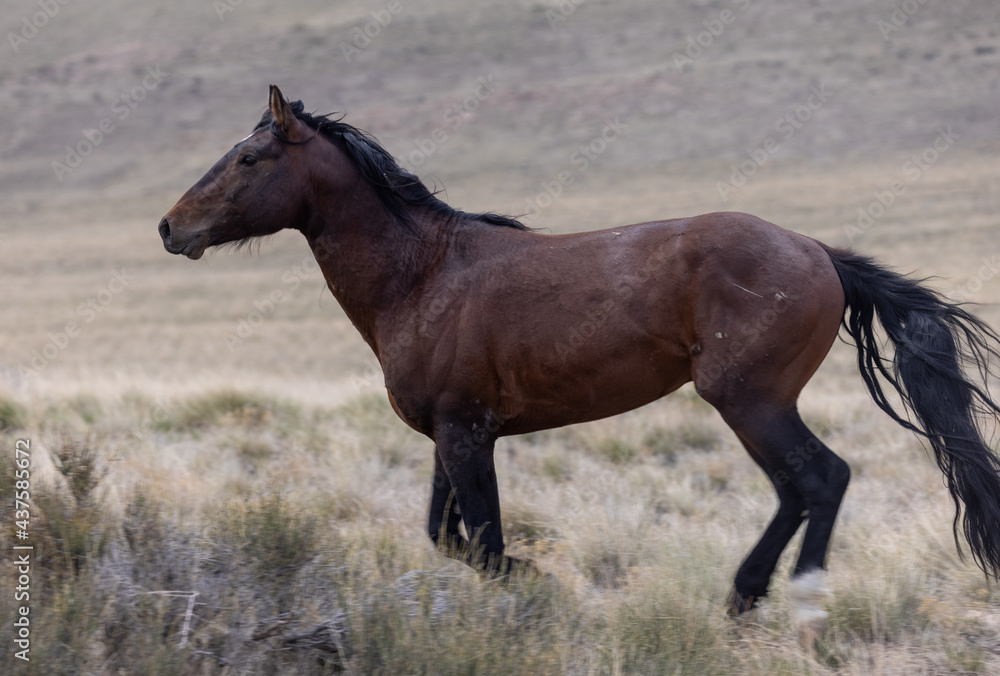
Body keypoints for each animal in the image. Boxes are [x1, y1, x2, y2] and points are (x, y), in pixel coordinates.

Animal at [159, 85, 1000, 629]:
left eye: (248, 158)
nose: (170, 227)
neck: (422, 274)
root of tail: (820, 253)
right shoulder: (450, 435)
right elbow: (448, 538)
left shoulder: (469, 434)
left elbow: (488, 545)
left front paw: (548, 594)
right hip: (754, 404)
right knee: (801, 489)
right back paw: (743, 598)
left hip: (748, 400)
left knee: (822, 479)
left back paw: (800, 604)